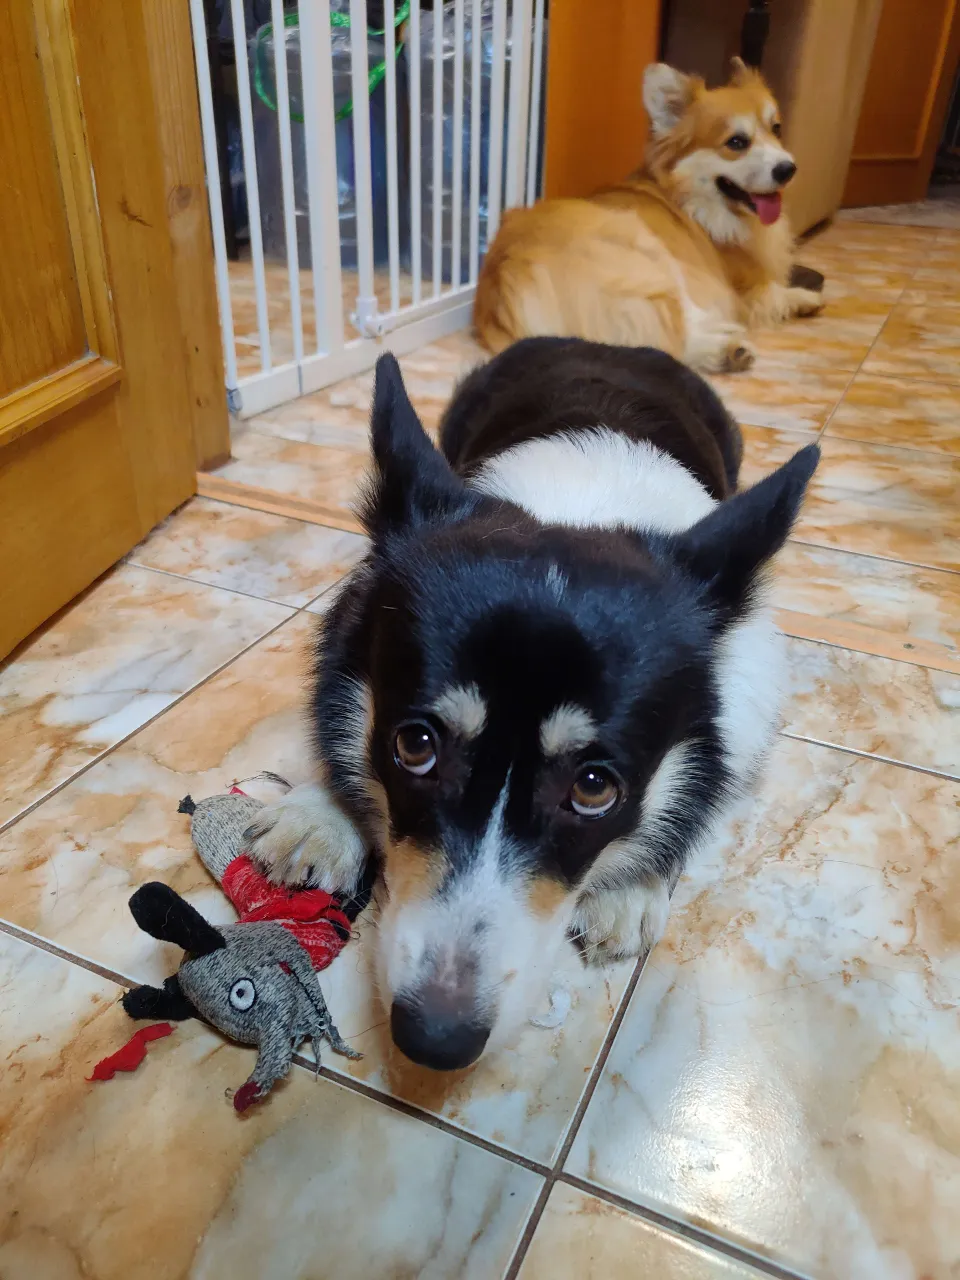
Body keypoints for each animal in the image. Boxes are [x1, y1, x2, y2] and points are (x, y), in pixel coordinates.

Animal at [249, 337, 819, 1070]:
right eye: (415, 745)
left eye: (596, 787)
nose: (435, 1040)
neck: (580, 504)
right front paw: (319, 814)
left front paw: (632, 886)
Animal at [473, 57, 829, 373]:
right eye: (737, 142)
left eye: (776, 128)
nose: (788, 169)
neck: (693, 200)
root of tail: (506, 280)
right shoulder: (740, 287)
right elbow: (771, 291)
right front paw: (803, 297)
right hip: (651, 256)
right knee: (670, 333)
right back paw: (725, 350)